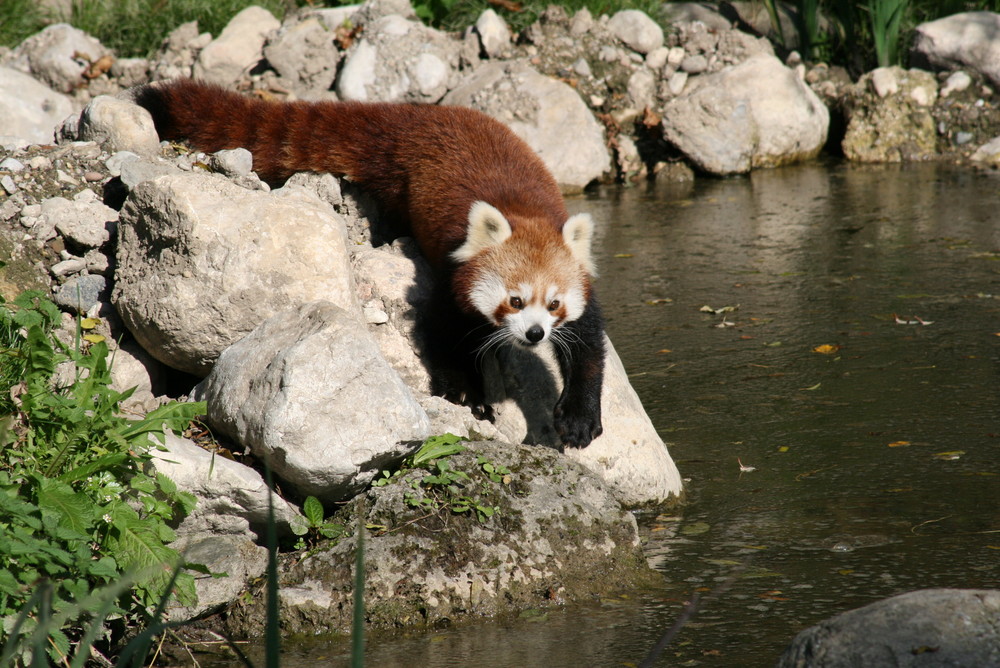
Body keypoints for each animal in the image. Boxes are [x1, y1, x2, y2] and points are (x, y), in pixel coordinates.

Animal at [130, 81, 604, 452]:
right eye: (515, 300)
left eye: (554, 304)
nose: (535, 334)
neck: (523, 212)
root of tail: (419, 116)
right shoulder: (452, 273)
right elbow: (443, 334)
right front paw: (467, 391)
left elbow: (588, 349)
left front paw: (579, 419)